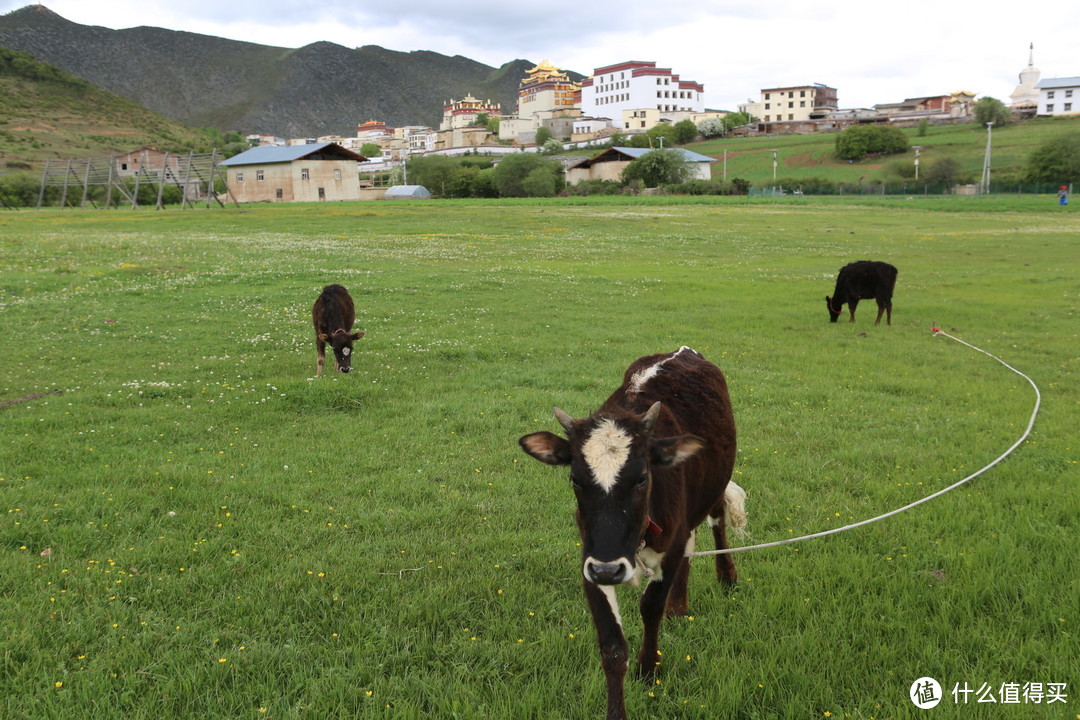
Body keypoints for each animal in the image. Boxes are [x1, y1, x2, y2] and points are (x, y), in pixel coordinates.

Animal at [518, 345, 747, 716]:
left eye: (641, 478)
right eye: (575, 479)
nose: (610, 570)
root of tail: (682, 350)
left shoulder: (667, 545)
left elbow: (651, 607)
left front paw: (648, 669)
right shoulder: (592, 559)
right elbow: (611, 644)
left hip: (715, 485)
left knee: (715, 522)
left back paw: (726, 575)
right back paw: (678, 604)